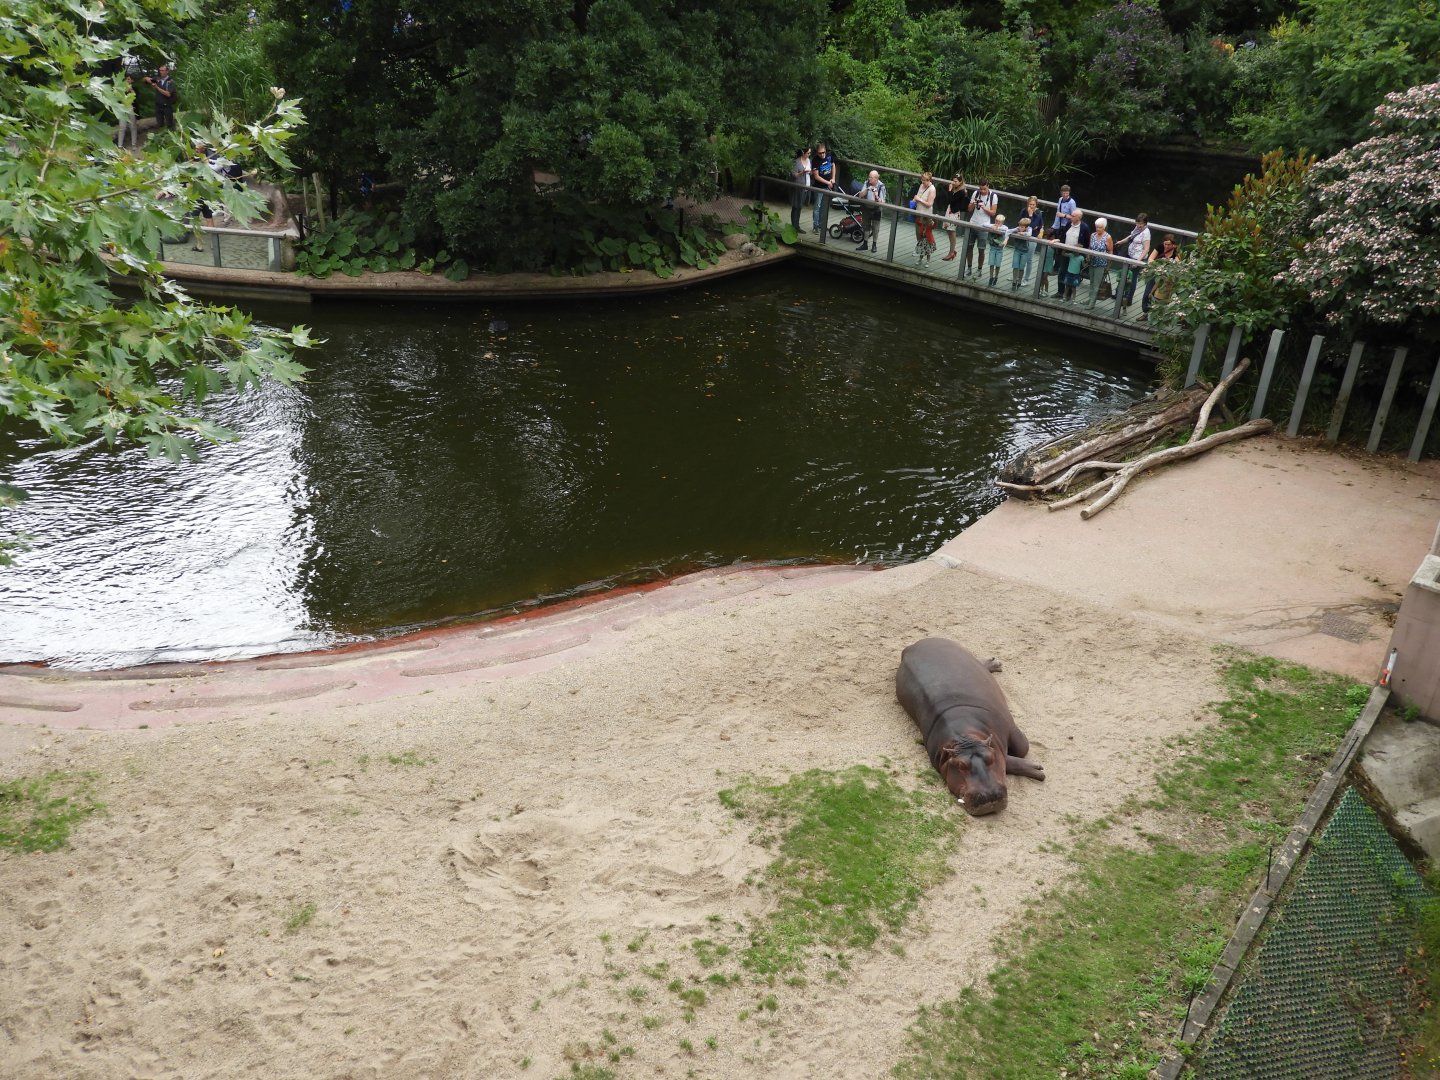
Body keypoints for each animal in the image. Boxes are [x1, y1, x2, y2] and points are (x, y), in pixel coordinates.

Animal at [895, 637, 1045, 815]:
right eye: (960, 765)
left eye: (990, 758)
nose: (989, 797)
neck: (966, 737)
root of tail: (910, 647)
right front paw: (1037, 770)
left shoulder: (1010, 729)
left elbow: (1022, 748)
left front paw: (1038, 769)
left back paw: (994, 664)